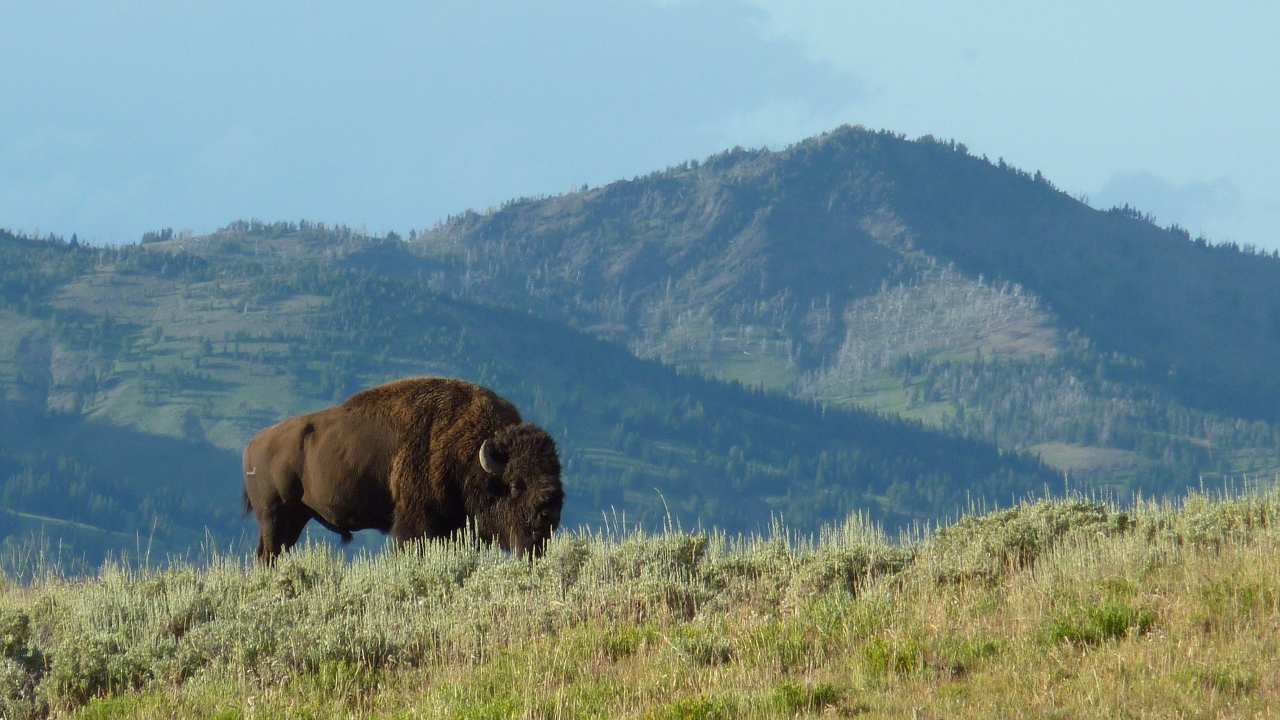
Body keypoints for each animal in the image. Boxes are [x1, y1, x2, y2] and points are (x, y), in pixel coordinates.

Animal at [241, 376, 563, 561]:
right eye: (516, 484)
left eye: (555, 474)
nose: (549, 512)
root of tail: (254, 444)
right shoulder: (414, 527)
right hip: (274, 517)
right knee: (267, 555)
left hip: (295, 518)